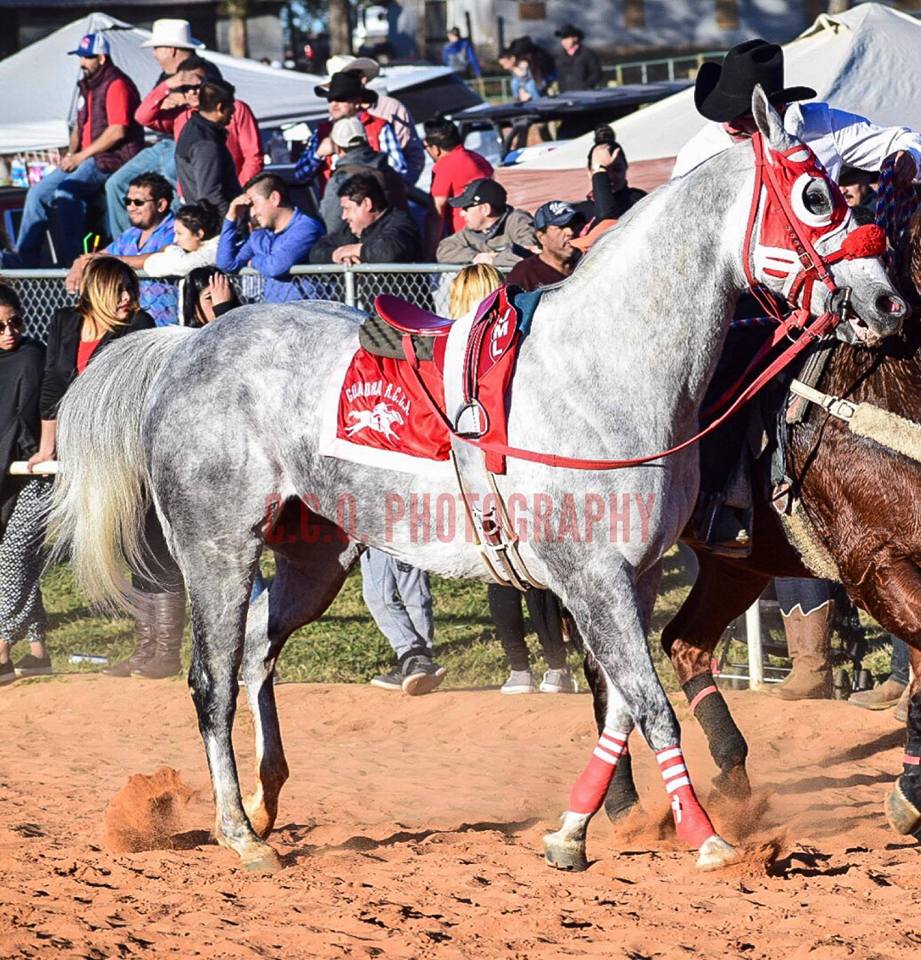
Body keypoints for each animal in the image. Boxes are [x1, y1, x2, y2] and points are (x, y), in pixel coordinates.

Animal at [587, 282, 921, 835]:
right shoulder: (877, 565)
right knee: (607, 670)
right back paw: (623, 805)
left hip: (737, 565)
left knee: (684, 643)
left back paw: (731, 775)